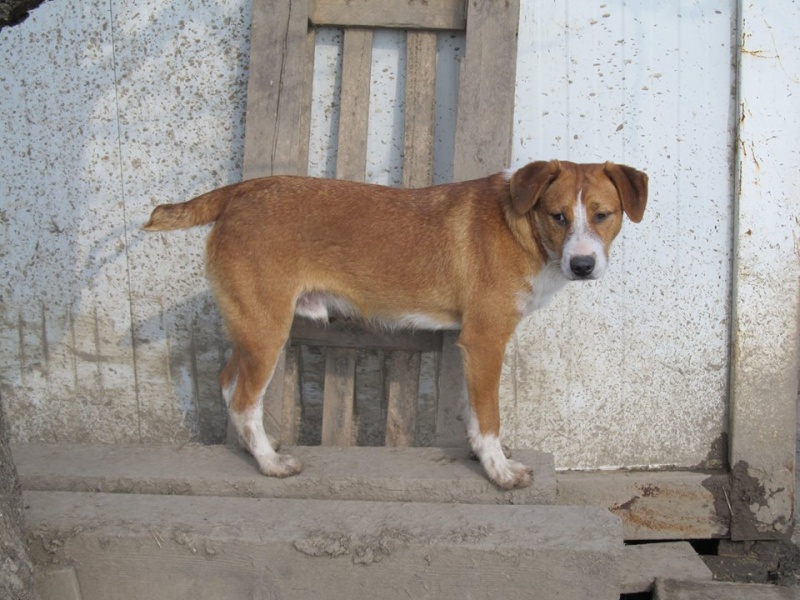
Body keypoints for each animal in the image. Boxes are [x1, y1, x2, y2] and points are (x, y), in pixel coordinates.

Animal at [144, 159, 648, 488]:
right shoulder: (485, 341)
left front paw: (484, 457)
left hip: (251, 328)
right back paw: (270, 463)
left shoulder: (472, 348)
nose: (582, 265)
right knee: (245, 401)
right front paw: (498, 471)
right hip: (267, 330)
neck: (521, 226)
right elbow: (489, 416)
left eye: (603, 215)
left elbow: (474, 413)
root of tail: (239, 191)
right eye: (557, 216)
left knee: (229, 386)